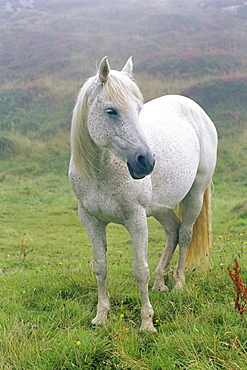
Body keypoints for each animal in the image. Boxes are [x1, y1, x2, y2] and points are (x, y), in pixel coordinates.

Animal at [68, 57, 217, 332]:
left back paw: (178, 284)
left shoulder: (136, 219)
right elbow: (100, 267)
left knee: (186, 234)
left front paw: (147, 322)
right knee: (173, 231)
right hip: (160, 207)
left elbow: (139, 270)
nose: (146, 162)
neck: (101, 171)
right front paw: (101, 316)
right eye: (111, 111)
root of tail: (195, 108)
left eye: (138, 109)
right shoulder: (91, 219)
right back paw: (160, 282)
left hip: (196, 194)